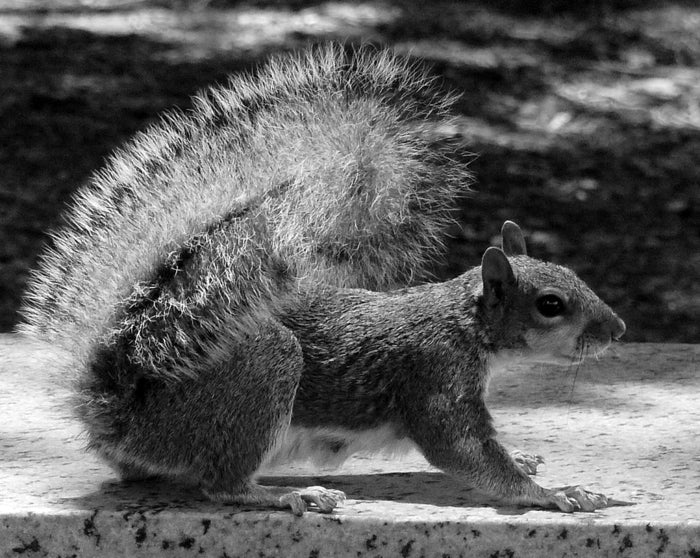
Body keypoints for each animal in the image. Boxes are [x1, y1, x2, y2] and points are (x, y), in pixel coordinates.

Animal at [11, 44, 626, 515]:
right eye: (551, 304)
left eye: (573, 275)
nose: (617, 330)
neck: (465, 323)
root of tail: (119, 414)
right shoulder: (434, 375)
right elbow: (464, 453)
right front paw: (555, 494)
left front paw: (525, 458)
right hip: (262, 370)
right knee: (221, 485)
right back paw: (286, 495)